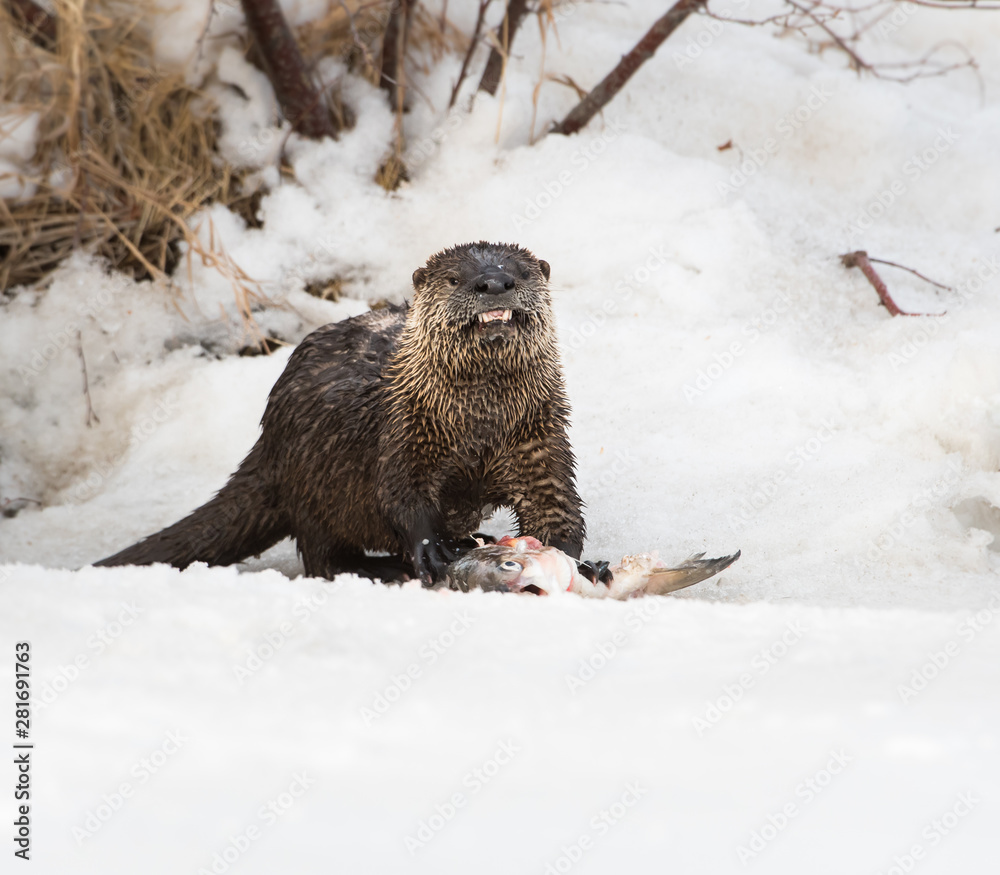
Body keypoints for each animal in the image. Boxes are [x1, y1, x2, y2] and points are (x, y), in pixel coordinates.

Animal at [95, 242, 587, 583]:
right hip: (313, 485)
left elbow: (557, 506)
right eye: (454, 279)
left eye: (521, 272)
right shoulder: (404, 434)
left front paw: (575, 561)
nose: (494, 283)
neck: (479, 426)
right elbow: (402, 495)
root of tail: (268, 444)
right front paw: (431, 549)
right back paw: (382, 567)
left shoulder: (539, 440)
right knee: (323, 556)